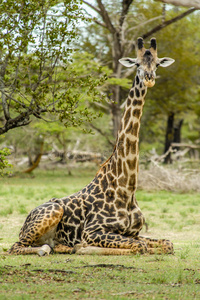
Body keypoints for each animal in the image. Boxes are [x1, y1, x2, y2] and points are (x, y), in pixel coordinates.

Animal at [8, 37, 175, 255]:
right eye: (137, 64)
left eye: (156, 64)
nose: (149, 78)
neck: (127, 189)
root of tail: (24, 222)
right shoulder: (93, 231)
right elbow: (140, 247)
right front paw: (83, 247)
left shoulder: (134, 232)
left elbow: (166, 244)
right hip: (51, 213)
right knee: (15, 247)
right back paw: (51, 248)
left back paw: (60, 247)